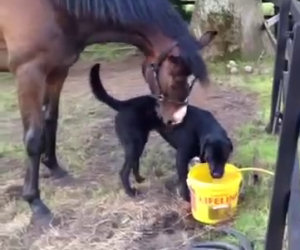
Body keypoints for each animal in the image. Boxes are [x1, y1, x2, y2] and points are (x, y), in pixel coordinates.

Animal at [0, 0, 211, 221]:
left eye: (193, 80)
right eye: (175, 78)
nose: (176, 119)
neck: (56, 9)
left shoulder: (57, 71)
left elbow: (51, 119)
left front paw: (54, 167)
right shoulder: (29, 72)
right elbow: (33, 139)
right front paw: (35, 202)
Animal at [90, 63, 233, 200]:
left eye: (225, 157)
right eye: (211, 156)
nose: (217, 175)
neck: (202, 129)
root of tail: (125, 104)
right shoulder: (181, 158)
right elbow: (183, 180)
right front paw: (186, 198)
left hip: (139, 143)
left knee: (134, 163)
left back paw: (139, 179)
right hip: (134, 144)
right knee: (123, 172)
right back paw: (130, 192)